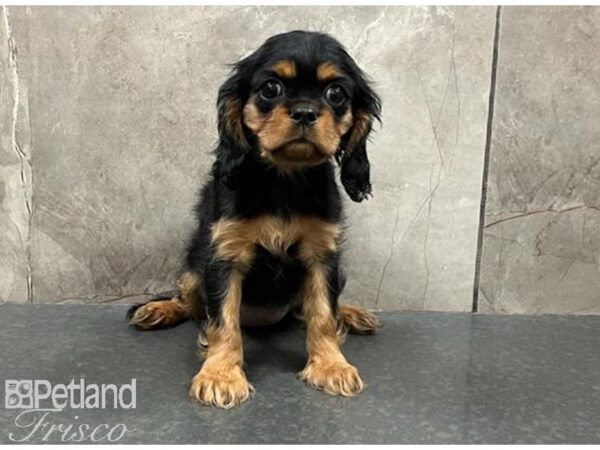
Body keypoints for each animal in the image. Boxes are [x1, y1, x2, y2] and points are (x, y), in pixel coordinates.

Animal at [127, 29, 382, 410]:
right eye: (271, 88)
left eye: (336, 94)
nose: (305, 112)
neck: (284, 178)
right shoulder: (224, 254)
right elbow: (222, 321)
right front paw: (221, 375)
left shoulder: (323, 254)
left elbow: (323, 313)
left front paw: (331, 366)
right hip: (193, 266)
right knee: (189, 302)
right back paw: (159, 310)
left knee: (311, 309)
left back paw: (351, 314)